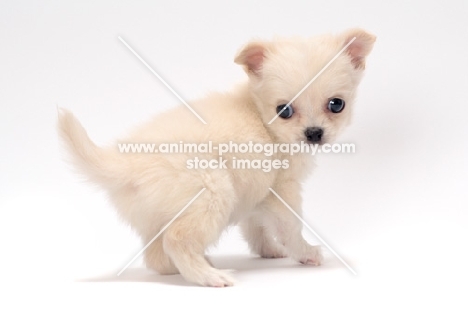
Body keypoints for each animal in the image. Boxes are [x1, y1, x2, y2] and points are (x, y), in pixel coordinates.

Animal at [57, 28, 376, 288]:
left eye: (336, 105)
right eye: (284, 110)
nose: (314, 133)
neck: (260, 117)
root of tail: (127, 165)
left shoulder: (257, 194)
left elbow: (256, 227)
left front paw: (269, 251)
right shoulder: (282, 191)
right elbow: (290, 228)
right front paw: (305, 253)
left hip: (159, 217)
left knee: (156, 257)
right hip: (213, 192)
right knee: (177, 240)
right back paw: (209, 276)